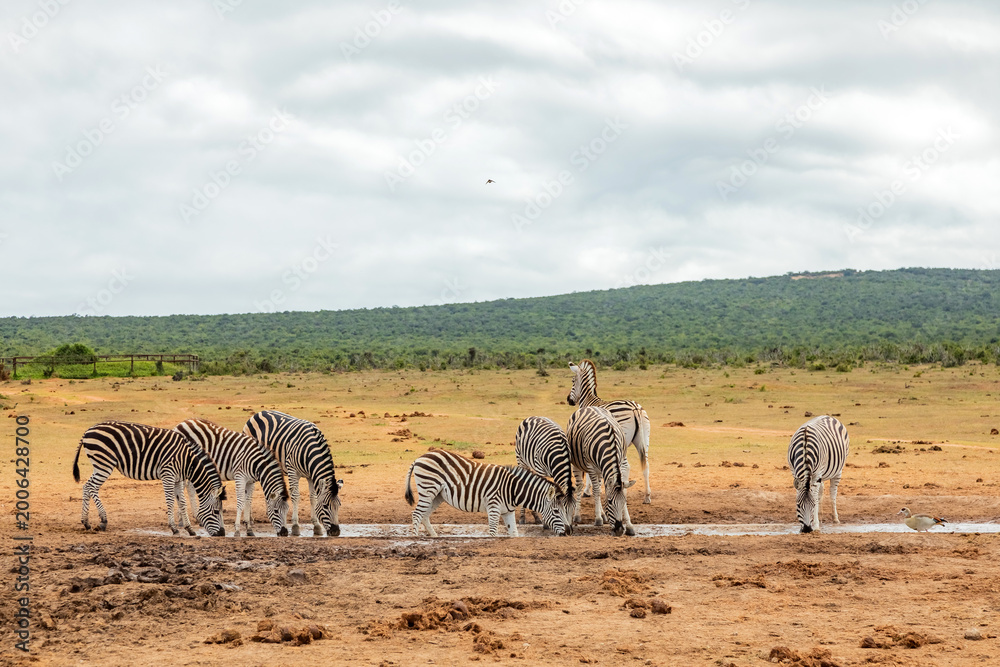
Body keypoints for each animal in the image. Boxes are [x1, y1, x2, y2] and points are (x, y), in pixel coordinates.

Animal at [72, 421, 226, 536]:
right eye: (216, 511)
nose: (222, 534)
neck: (187, 461)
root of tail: (88, 430)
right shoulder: (168, 474)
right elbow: (170, 501)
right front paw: (174, 528)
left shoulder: (178, 479)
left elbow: (182, 502)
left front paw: (190, 529)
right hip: (104, 463)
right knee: (91, 487)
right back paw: (103, 521)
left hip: (99, 465)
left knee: (86, 486)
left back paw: (86, 522)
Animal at [404, 447, 567, 538]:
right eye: (556, 511)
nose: (568, 532)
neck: (512, 489)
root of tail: (420, 458)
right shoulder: (493, 508)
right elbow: (493, 533)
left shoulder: (507, 512)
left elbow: (514, 534)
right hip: (428, 489)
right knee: (417, 514)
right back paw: (415, 538)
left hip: (437, 496)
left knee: (424, 515)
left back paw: (434, 536)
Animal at [566, 406, 636, 536]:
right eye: (609, 502)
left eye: (624, 501)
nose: (619, 530)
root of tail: (589, 406)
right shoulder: (591, 467)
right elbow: (597, 492)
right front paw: (598, 519)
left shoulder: (618, 464)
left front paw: (629, 525)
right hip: (576, 463)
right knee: (580, 486)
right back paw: (577, 516)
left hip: (600, 470)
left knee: (598, 484)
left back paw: (603, 515)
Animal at [567, 359, 652, 504]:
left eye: (573, 381)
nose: (569, 400)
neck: (589, 400)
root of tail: (635, 408)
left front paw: (587, 491)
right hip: (643, 440)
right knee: (645, 465)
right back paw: (647, 496)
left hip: (622, 441)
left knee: (625, 466)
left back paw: (623, 492)